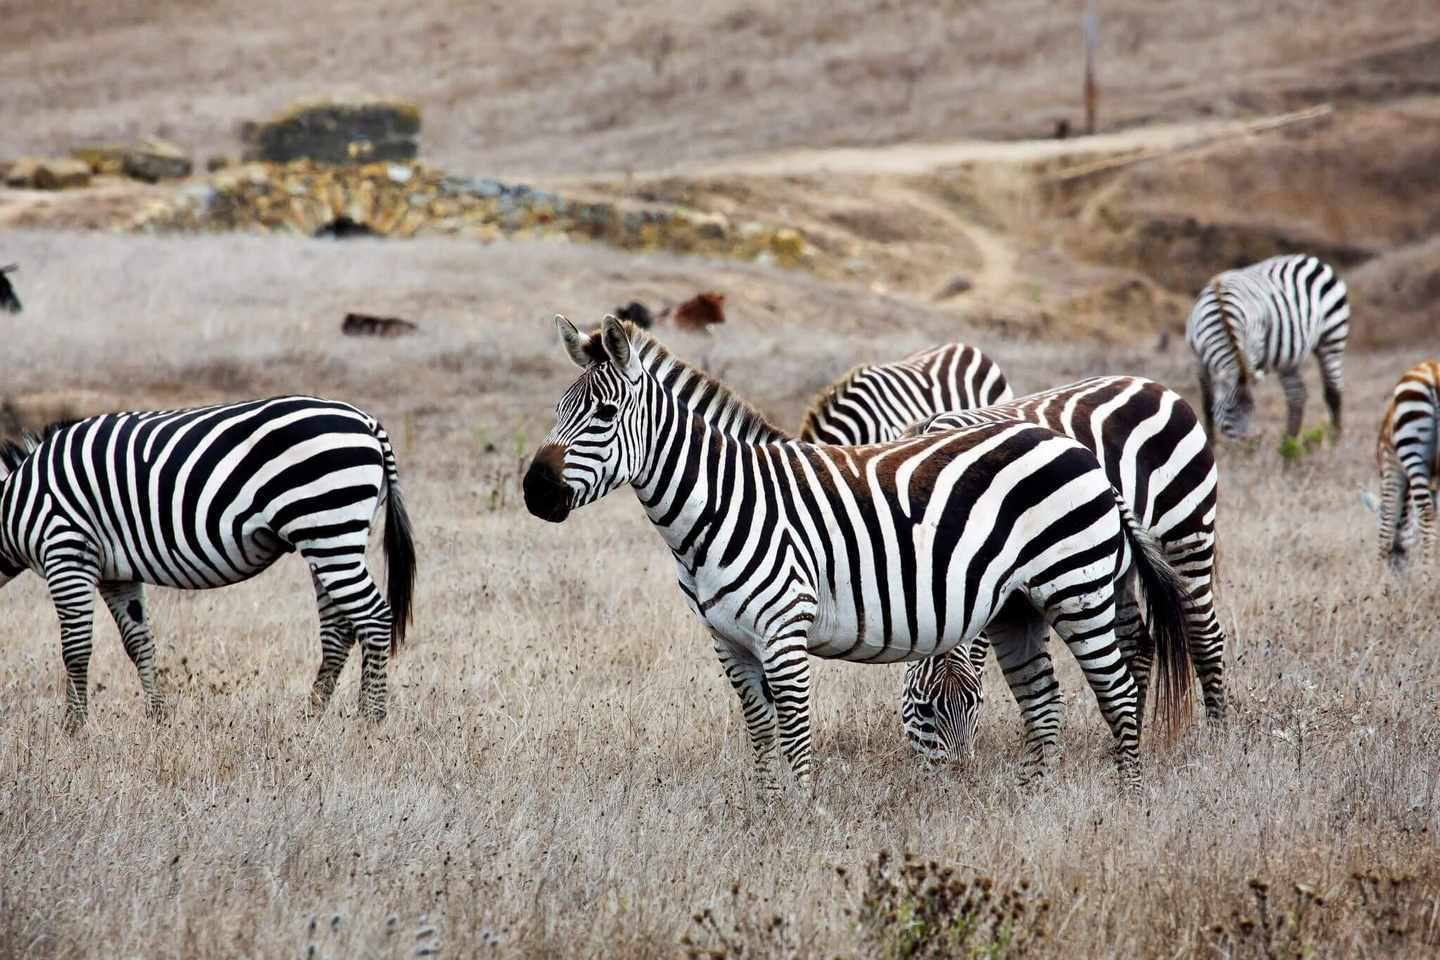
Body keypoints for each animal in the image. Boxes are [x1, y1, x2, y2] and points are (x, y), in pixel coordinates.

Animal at [0, 395, 416, 731]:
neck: (12, 502)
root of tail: (367, 422)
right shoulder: (115, 574)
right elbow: (139, 642)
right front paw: (158, 718)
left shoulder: (66, 550)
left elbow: (75, 647)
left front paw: (73, 727)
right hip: (328, 537)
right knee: (339, 629)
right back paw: (310, 717)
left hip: (330, 530)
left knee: (375, 617)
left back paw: (370, 720)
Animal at [898, 377, 1225, 763]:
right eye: (923, 708)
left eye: (975, 704)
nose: (958, 773)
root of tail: (1152, 385)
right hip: (1115, 565)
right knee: (1138, 647)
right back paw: (1128, 740)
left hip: (1186, 533)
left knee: (1205, 637)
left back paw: (1218, 738)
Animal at [1186, 254, 1350, 440]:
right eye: (1228, 410)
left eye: (1252, 410)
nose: (1246, 441)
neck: (1222, 314)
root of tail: (1314, 260)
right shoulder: (1199, 361)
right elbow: (1207, 402)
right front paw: (1209, 441)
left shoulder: (1252, 350)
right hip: (1289, 359)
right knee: (1297, 396)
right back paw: (1288, 442)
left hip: (1333, 338)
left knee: (1333, 391)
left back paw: (1334, 439)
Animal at [1373, 359, 1440, 570]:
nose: (1398, 566)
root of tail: (1433, 372)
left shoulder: (1391, 468)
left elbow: (1386, 524)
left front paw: (1377, 576)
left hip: (1412, 453)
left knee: (1426, 513)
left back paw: (1427, 576)